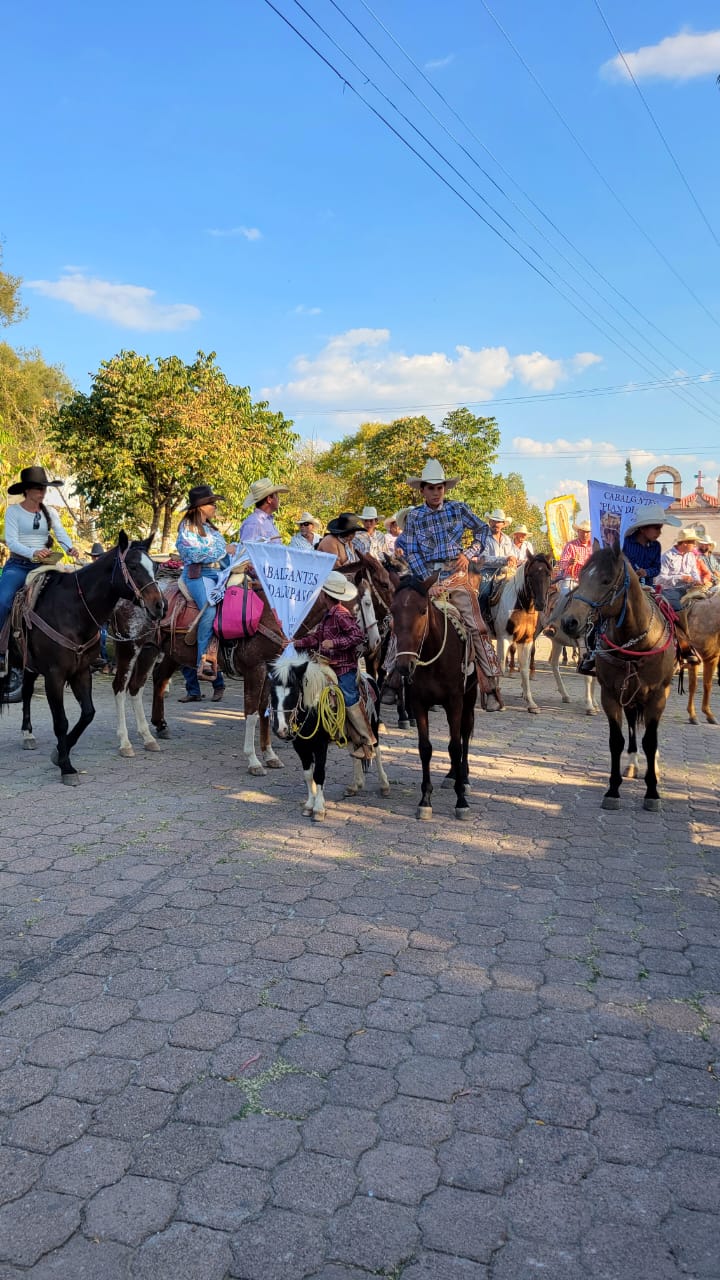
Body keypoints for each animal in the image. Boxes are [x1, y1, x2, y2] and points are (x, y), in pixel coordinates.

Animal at [0, 535, 163, 783]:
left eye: (154, 566)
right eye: (133, 566)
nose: (160, 606)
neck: (73, 611)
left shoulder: (82, 671)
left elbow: (88, 713)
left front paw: (60, 752)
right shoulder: (55, 676)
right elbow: (61, 721)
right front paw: (66, 766)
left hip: (29, 664)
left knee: (27, 692)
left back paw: (28, 734)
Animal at [266, 655, 386, 824]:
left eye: (294, 692)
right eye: (272, 692)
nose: (280, 729)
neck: (312, 710)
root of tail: (367, 677)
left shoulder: (320, 746)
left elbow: (319, 774)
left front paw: (319, 809)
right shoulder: (300, 747)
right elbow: (308, 775)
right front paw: (309, 805)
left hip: (372, 725)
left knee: (377, 750)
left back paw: (384, 785)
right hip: (350, 733)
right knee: (355, 753)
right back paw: (355, 785)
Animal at [386, 578, 476, 819]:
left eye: (422, 610)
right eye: (393, 610)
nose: (404, 665)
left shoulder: (455, 702)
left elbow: (455, 747)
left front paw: (461, 802)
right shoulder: (419, 703)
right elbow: (425, 748)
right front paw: (425, 800)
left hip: (469, 699)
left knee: (464, 736)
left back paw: (464, 778)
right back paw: (452, 775)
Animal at [486, 555, 548, 716]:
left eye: (548, 574)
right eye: (530, 575)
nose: (540, 603)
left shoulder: (526, 641)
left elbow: (524, 669)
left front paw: (531, 704)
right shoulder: (504, 639)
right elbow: (501, 666)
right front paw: (498, 703)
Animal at [561, 542, 671, 808]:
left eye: (606, 579)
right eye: (581, 576)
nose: (570, 621)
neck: (636, 643)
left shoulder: (656, 696)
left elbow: (650, 741)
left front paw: (652, 792)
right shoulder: (610, 695)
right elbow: (616, 741)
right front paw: (612, 790)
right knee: (631, 725)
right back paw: (632, 764)